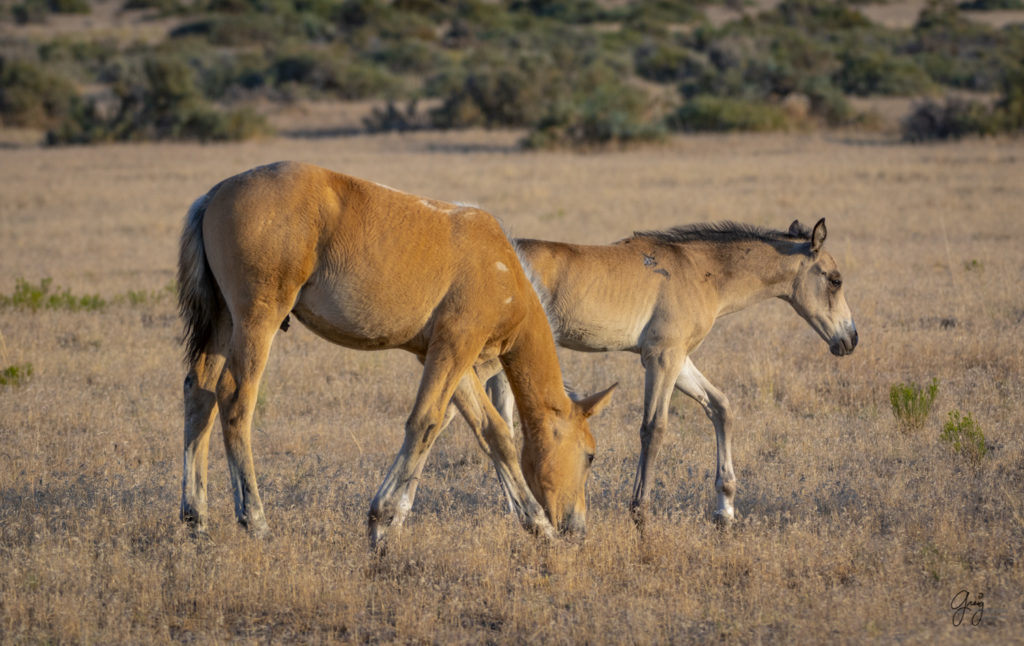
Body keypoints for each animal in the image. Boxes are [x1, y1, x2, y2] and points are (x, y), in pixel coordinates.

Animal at [174, 160, 614, 544]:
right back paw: (256, 520)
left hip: (223, 322)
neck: (502, 269)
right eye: (590, 455)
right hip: (258, 321)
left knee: (200, 393)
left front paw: (537, 525)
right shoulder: (455, 347)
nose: (577, 528)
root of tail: (215, 194)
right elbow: (425, 422)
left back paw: (196, 520)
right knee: (235, 400)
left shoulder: (453, 360)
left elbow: (493, 434)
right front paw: (383, 520)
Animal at [479, 220, 856, 528]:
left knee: (501, 421)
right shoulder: (662, 358)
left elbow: (720, 407)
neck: (701, 271)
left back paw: (518, 507)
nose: (850, 339)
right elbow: (654, 428)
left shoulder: (679, 358)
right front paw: (640, 512)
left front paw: (725, 509)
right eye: (835, 280)